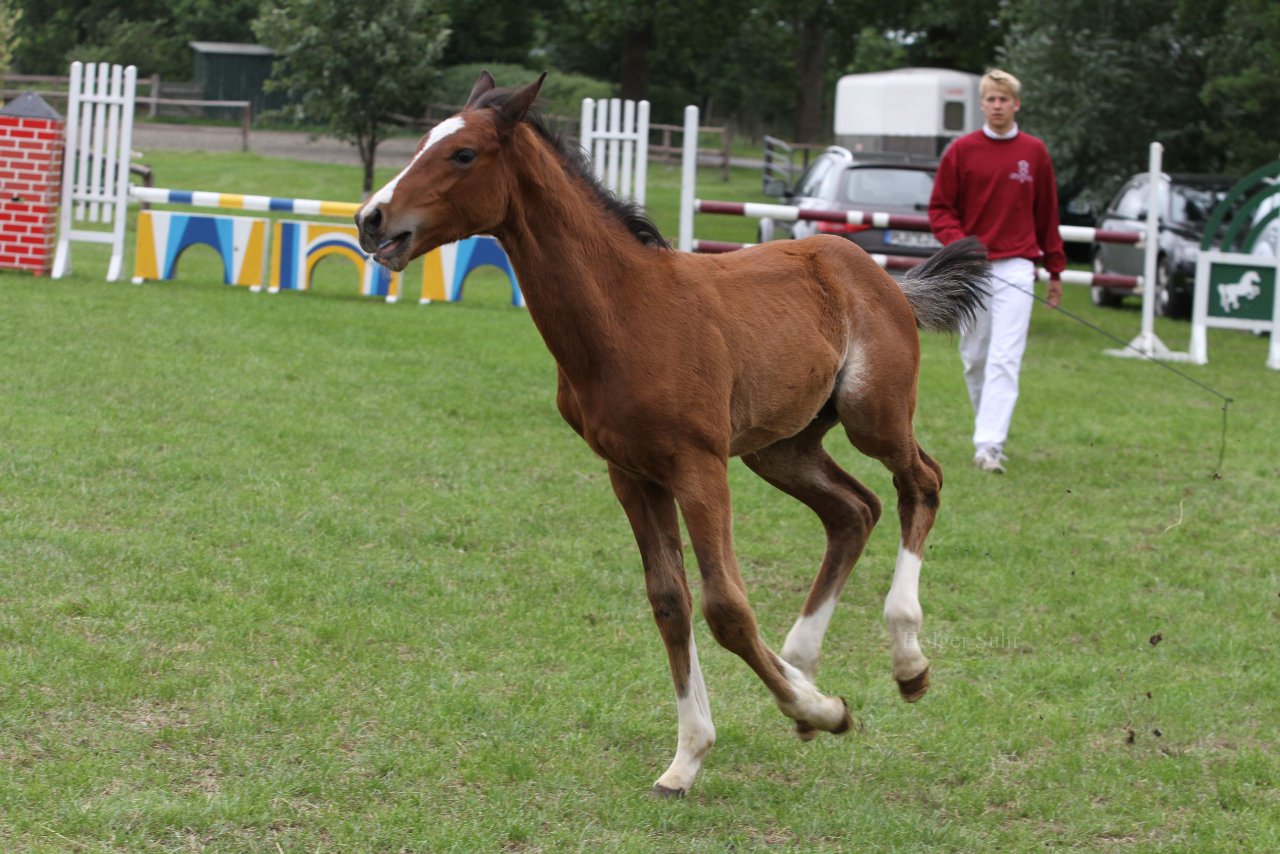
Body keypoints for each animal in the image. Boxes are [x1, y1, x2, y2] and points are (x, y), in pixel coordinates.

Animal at [360, 71, 988, 793]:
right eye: (425, 141)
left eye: (463, 154)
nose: (371, 218)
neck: (625, 312)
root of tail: (879, 274)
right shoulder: (631, 473)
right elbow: (668, 600)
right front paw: (690, 755)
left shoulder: (698, 466)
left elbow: (726, 607)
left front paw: (821, 711)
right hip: (781, 447)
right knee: (854, 510)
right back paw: (801, 663)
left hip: (870, 415)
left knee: (921, 482)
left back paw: (904, 663)